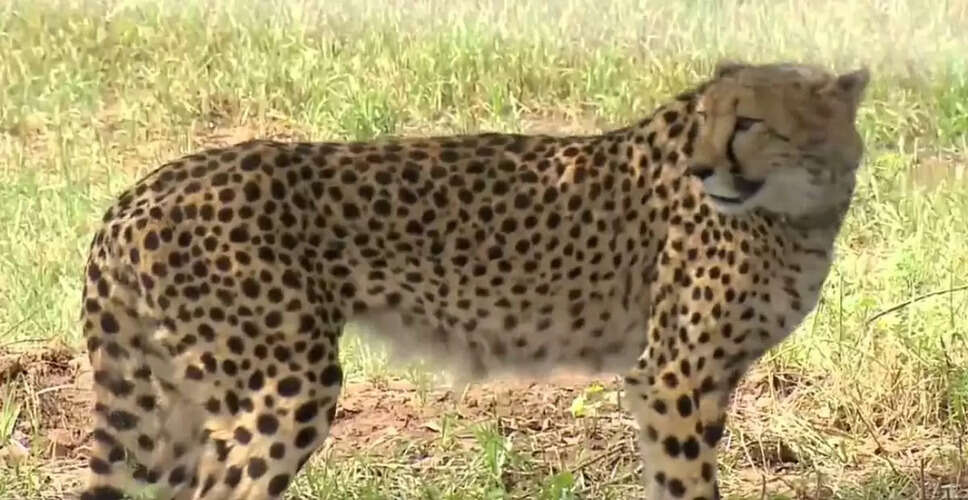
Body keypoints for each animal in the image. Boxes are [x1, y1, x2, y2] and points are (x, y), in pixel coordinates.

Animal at [78, 60, 870, 500]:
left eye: (749, 122)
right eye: (707, 121)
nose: (704, 170)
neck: (799, 207)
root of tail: (139, 191)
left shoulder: (701, 380)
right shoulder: (673, 376)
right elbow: (687, 483)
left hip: (178, 409)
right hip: (283, 388)